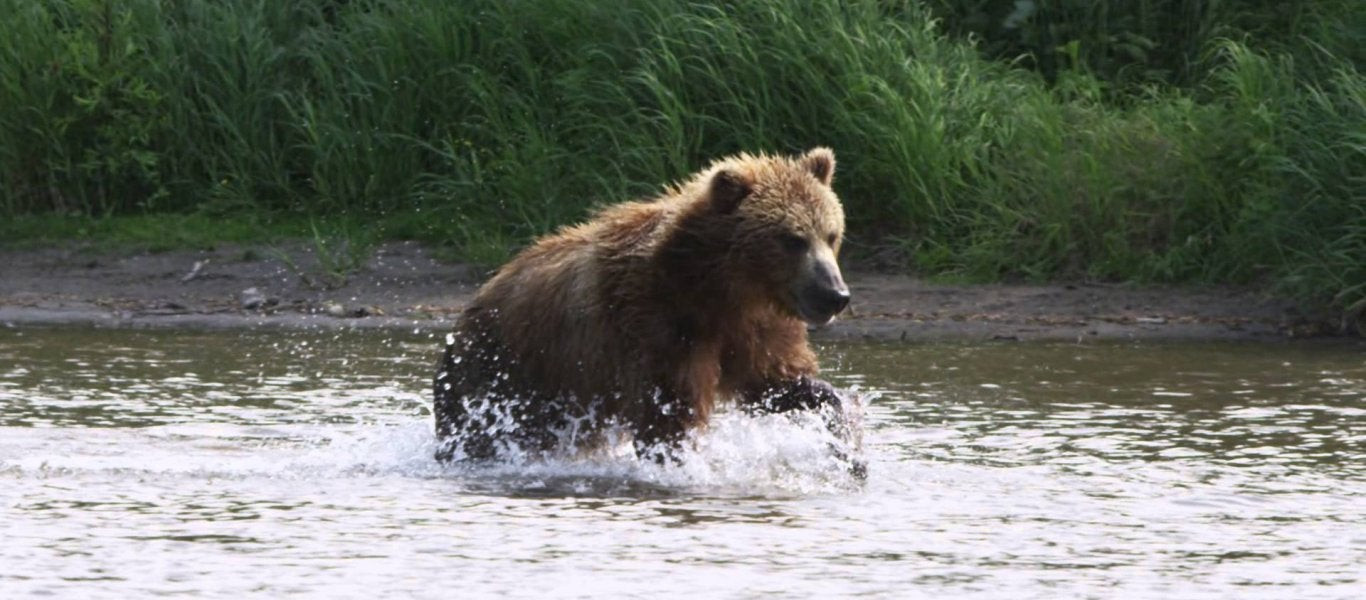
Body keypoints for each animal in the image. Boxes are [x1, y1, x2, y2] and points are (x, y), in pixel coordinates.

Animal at [431, 148, 852, 467]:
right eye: (792, 239)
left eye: (831, 235)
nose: (835, 294)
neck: (718, 288)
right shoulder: (656, 324)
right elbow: (669, 415)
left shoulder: (753, 329)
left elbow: (777, 385)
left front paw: (849, 450)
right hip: (500, 377)